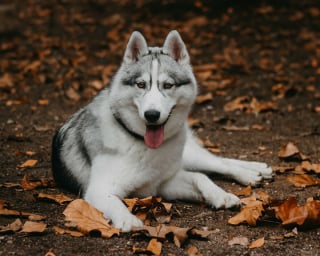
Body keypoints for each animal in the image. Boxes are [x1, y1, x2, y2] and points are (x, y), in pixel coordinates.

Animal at [52, 30, 272, 232]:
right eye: (141, 84)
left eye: (168, 85)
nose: (152, 114)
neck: (140, 142)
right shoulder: (101, 190)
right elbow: (115, 202)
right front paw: (127, 219)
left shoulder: (164, 182)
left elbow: (201, 177)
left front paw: (221, 195)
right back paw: (256, 171)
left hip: (189, 156)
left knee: (219, 163)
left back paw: (252, 172)